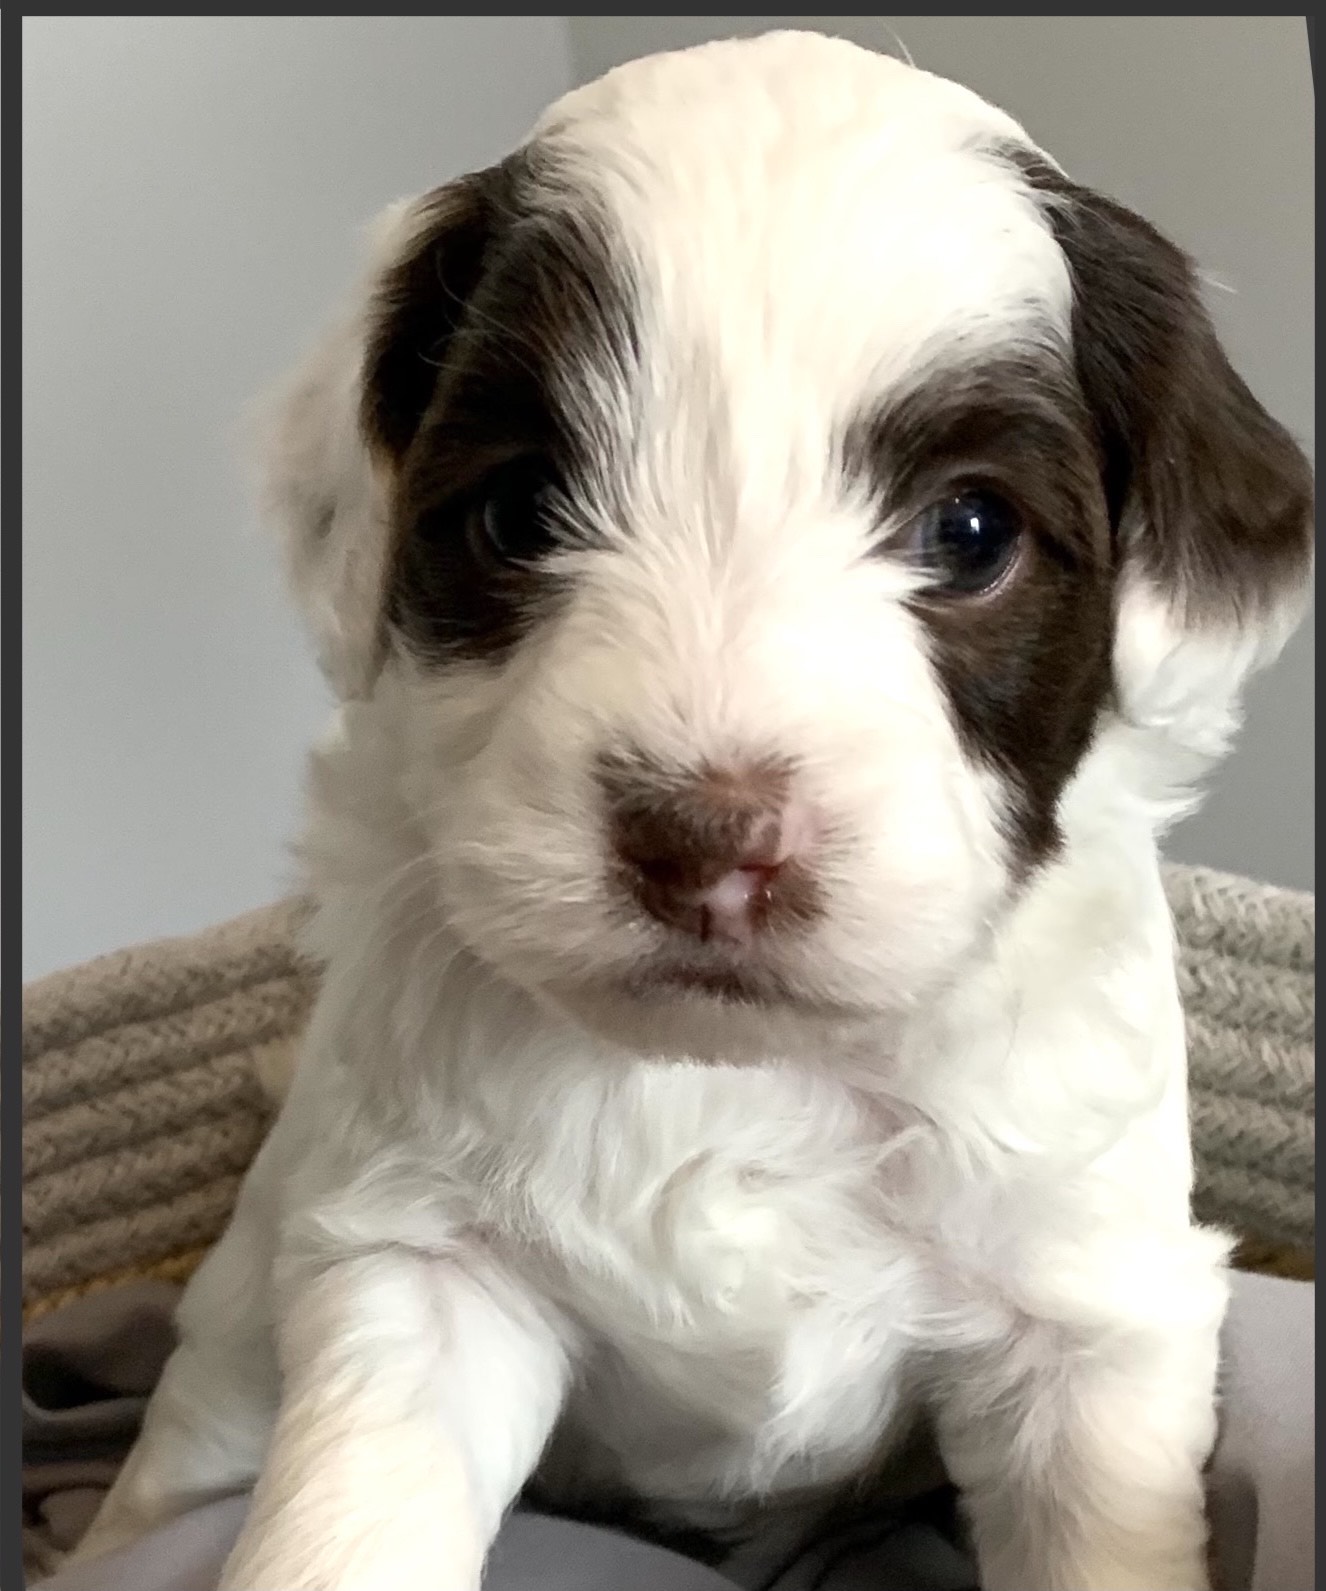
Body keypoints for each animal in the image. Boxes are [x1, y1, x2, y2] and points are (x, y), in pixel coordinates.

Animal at [77, 28, 1311, 1591]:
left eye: (970, 530)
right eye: (518, 512)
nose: (706, 845)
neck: (742, 1072)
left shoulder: (1085, 1319)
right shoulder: (422, 1261)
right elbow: (345, 1522)